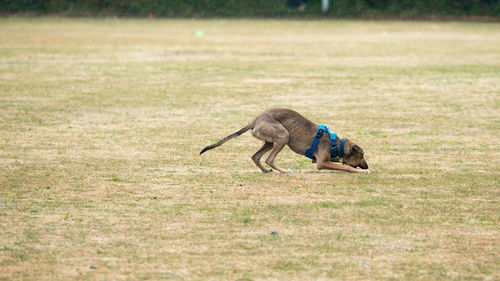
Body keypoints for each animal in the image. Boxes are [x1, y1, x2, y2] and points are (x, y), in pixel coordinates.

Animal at [200, 107, 372, 173]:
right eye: (362, 156)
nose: (366, 165)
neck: (337, 144)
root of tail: (255, 121)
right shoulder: (322, 163)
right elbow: (347, 167)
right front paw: (363, 171)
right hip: (283, 136)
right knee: (269, 159)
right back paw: (284, 171)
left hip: (270, 141)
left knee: (256, 157)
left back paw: (266, 171)